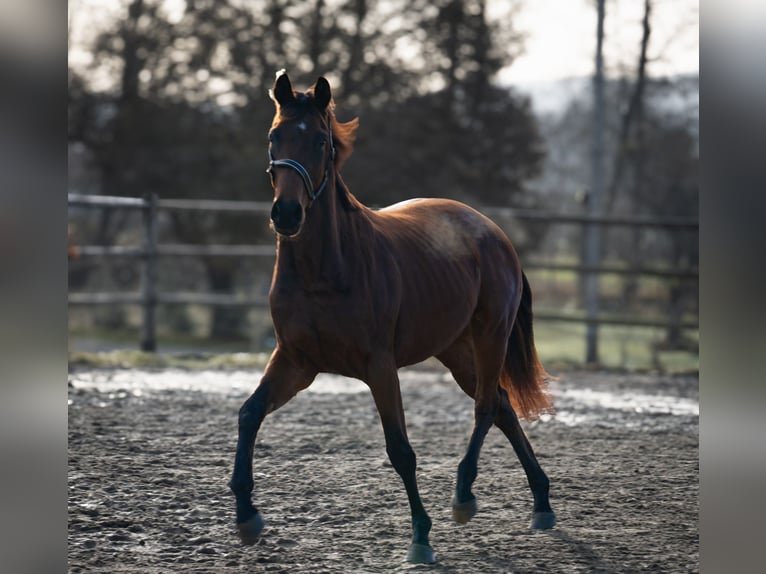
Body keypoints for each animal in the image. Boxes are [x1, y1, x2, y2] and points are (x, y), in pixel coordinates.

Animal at [228, 72, 560, 568]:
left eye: (321, 141)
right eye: (274, 136)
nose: (286, 214)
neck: (324, 270)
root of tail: (493, 231)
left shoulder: (379, 366)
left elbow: (400, 450)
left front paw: (421, 537)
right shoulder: (296, 362)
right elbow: (249, 414)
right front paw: (246, 516)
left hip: (490, 337)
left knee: (486, 406)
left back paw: (465, 496)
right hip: (455, 350)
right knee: (501, 405)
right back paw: (541, 503)